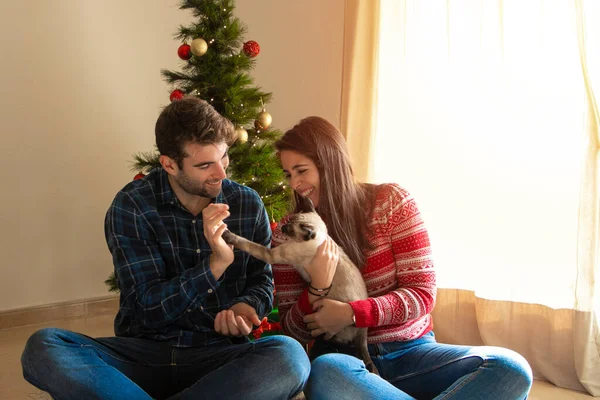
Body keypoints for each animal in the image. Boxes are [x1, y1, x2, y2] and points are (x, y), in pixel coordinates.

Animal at [223, 197, 378, 376]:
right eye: (288, 221)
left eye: (290, 229)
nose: (282, 227)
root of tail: (363, 331)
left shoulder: (272, 254)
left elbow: (247, 243)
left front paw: (227, 235)